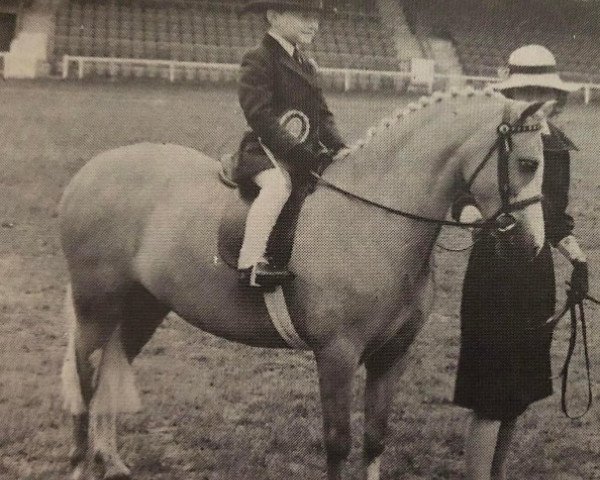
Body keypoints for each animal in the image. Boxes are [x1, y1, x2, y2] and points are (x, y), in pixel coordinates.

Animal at [59, 87, 552, 480]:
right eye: (529, 163)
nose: (531, 246)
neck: (375, 218)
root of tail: (93, 169)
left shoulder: (392, 355)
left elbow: (375, 439)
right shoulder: (337, 354)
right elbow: (338, 442)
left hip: (143, 307)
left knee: (110, 371)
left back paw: (110, 459)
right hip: (96, 308)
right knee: (85, 379)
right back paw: (82, 462)